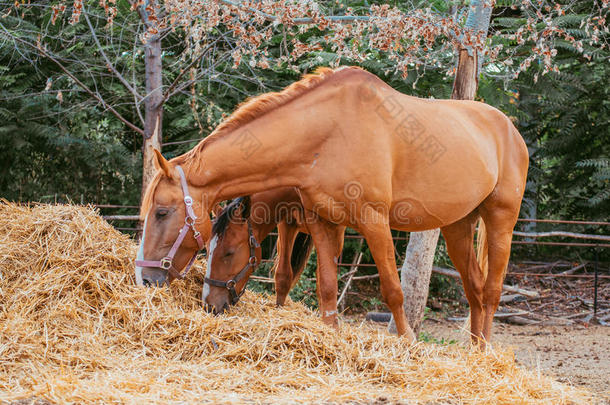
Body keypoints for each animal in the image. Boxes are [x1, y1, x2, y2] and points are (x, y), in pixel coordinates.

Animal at [202, 186, 344, 322]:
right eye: (207, 249)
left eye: (229, 253)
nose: (209, 305)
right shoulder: (287, 223)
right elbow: (283, 276)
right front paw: (279, 309)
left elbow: (325, 283)